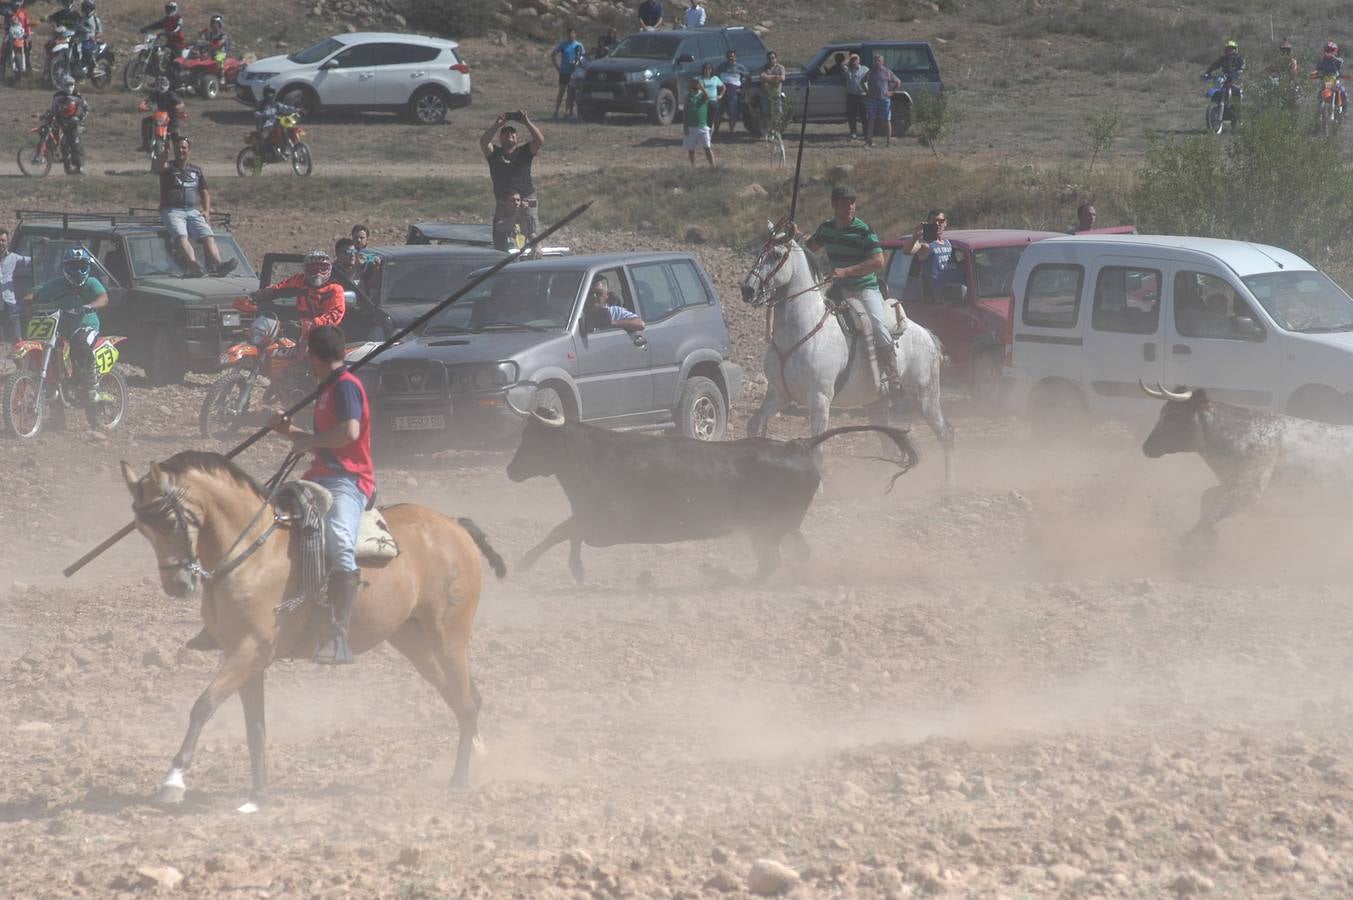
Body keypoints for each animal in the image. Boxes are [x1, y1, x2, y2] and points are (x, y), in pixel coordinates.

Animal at [119, 449, 503, 806]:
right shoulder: (246, 659)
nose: (177, 584)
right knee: (464, 699)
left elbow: (204, 704)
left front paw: (172, 781)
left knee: (466, 702)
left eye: (171, 521)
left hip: (449, 637)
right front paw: (258, 795)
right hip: (414, 642)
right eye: (143, 529)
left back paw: (459, 779)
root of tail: (454, 526)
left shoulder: (248, 649)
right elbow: (255, 727)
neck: (254, 552)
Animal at [508, 411, 920, 581]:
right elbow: (563, 531)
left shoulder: (607, 523)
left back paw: (728, 579)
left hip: (766, 529)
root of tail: (799, 444)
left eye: (535, 439)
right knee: (793, 556)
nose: (511, 471)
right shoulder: (591, 519)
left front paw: (542, 566)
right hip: (777, 528)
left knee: (772, 561)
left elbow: (567, 532)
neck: (591, 455)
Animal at [741, 231, 952, 484]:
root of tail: (926, 334)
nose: (747, 290)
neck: (802, 330)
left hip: (926, 396)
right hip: (876, 404)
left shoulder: (820, 400)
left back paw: (948, 484)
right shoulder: (778, 394)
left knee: (945, 434)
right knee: (890, 444)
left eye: (776, 254)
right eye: (758, 252)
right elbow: (754, 424)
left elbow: (817, 451)